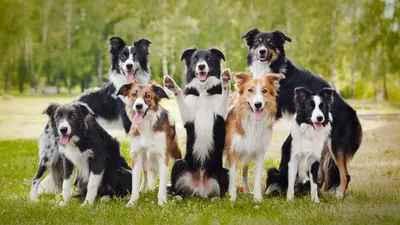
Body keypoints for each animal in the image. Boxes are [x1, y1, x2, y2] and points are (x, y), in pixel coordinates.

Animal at [29, 36, 152, 200]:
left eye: (136, 56)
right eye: (123, 57)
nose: (129, 66)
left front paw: (143, 190)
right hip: (49, 153)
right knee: (35, 178)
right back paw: (33, 200)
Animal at [163, 47, 231, 197]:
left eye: (208, 58)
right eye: (195, 59)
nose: (201, 66)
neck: (203, 92)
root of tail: (200, 189)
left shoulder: (220, 116)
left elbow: (225, 94)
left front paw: (225, 81)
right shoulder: (188, 119)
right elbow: (179, 96)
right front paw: (172, 86)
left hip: (225, 172)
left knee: (219, 193)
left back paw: (214, 198)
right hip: (179, 164)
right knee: (177, 190)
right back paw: (178, 197)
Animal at [225, 72, 284, 202]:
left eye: (265, 91)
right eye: (250, 90)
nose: (258, 104)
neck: (252, 122)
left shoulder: (258, 151)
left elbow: (256, 177)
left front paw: (257, 199)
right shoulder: (233, 151)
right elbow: (232, 176)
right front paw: (232, 198)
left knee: (244, 171)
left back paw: (246, 190)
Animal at [241, 28, 362, 199]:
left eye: (270, 43)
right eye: (258, 42)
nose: (262, 51)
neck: (270, 66)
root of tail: (353, 113)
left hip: (336, 146)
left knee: (345, 174)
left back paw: (338, 195)